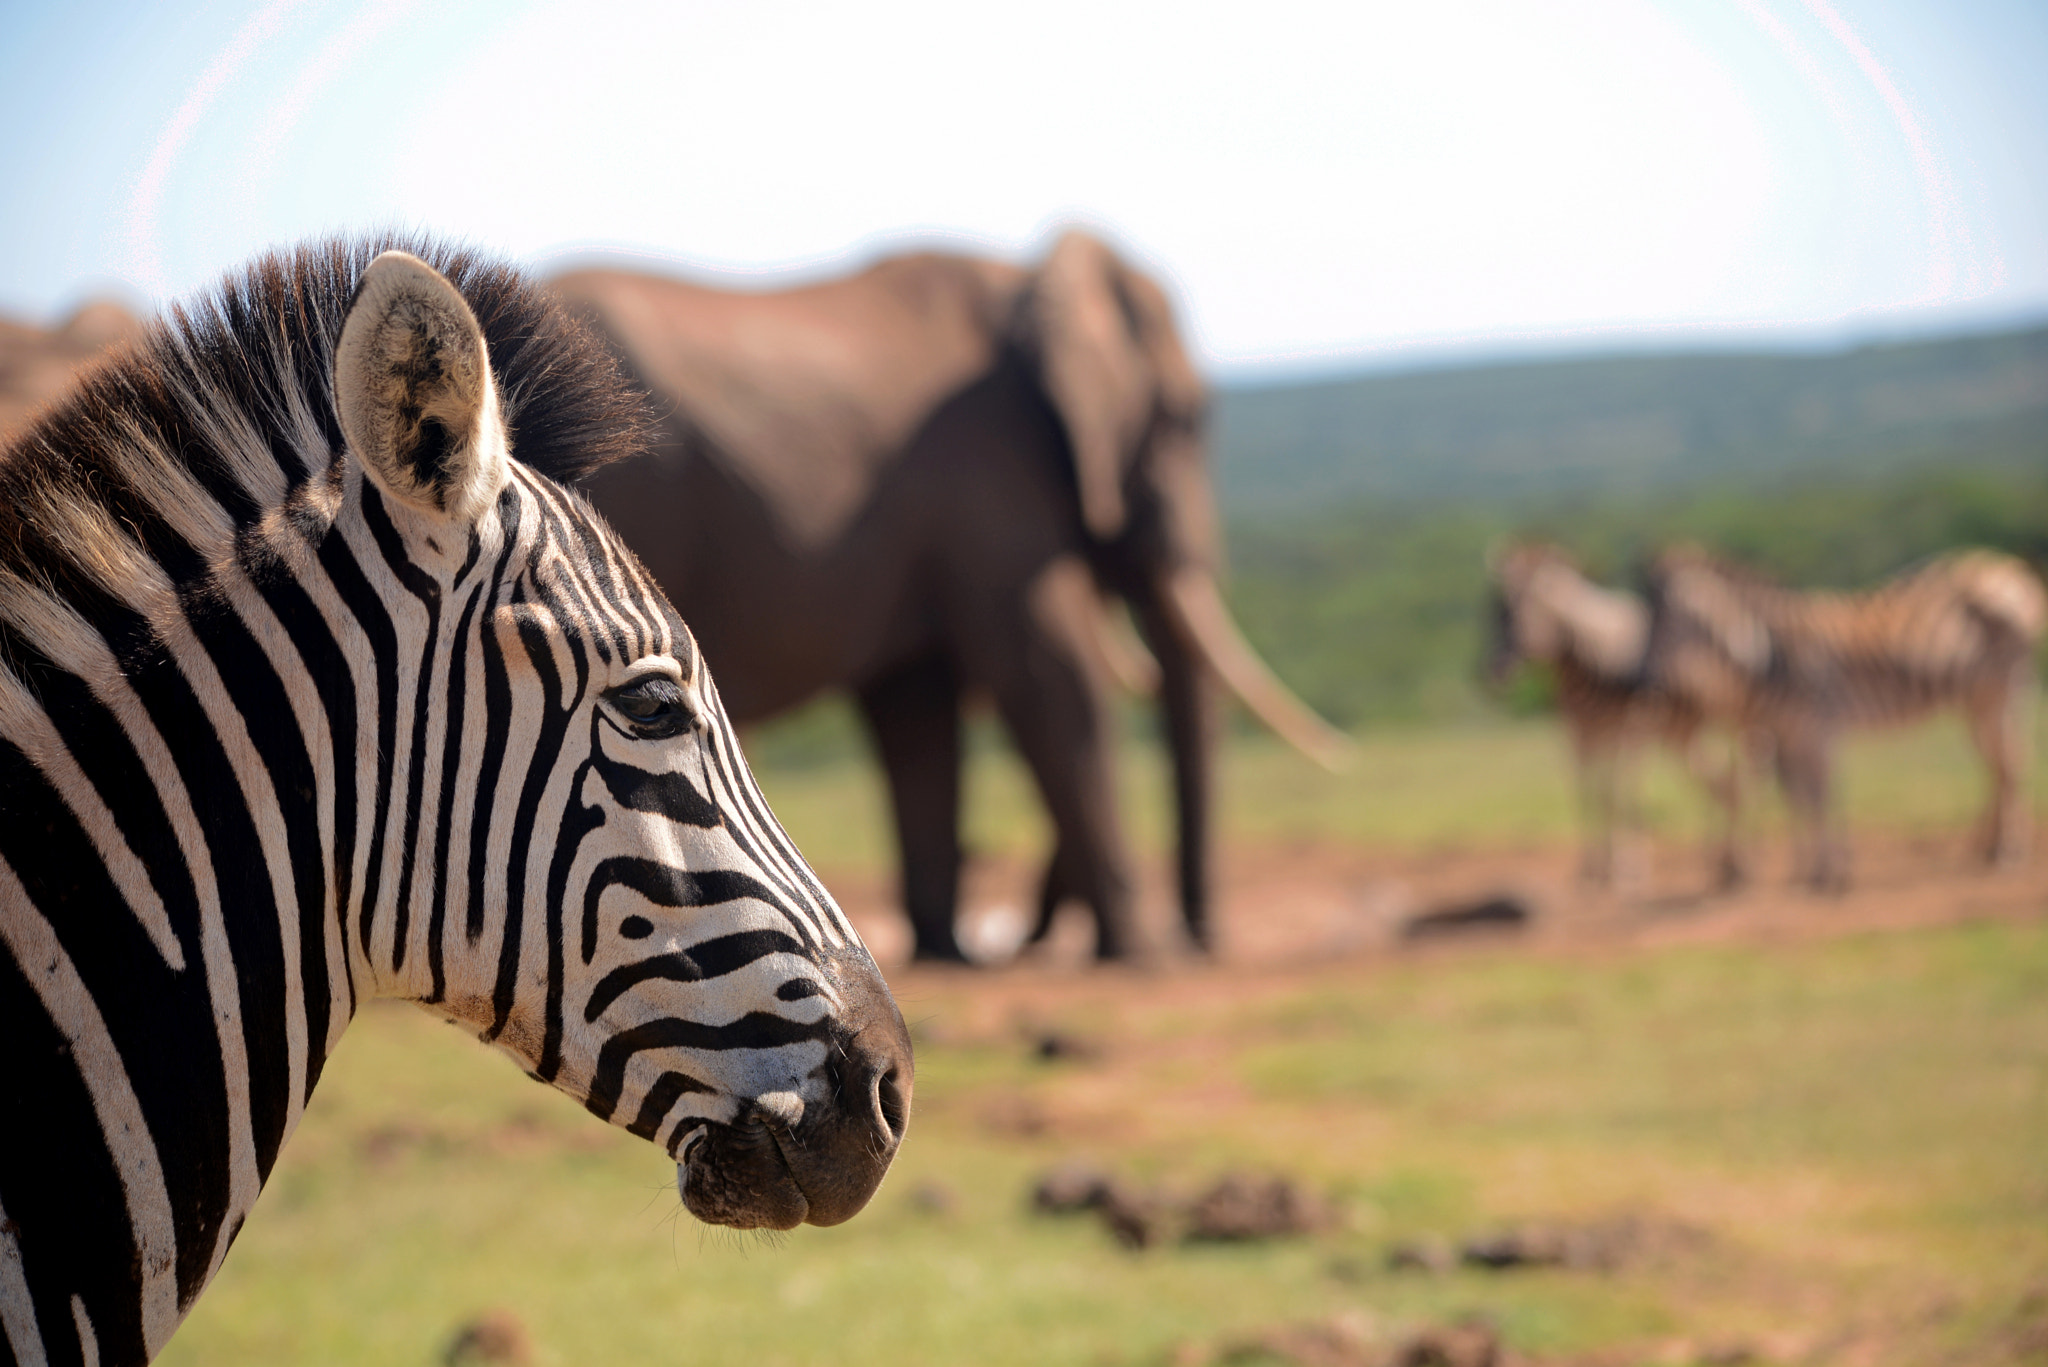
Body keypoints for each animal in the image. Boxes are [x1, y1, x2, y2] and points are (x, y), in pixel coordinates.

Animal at [552, 232, 1343, 963]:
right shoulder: (987, 469)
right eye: (1184, 420)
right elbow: (1053, 673)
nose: (1203, 941)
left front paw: (946, 952)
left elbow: (918, 713)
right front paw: (1141, 958)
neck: (1030, 280)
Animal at [1490, 545, 1744, 897]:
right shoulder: (1581, 736)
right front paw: (1591, 871)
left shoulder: (1632, 730)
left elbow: (1620, 795)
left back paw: (1737, 863)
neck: (1587, 663)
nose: (1493, 671)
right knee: (1720, 781)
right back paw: (1719, 864)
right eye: (1495, 607)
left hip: (1728, 719)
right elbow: (1590, 794)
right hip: (1683, 732)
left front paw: (1627, 870)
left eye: (1514, 610)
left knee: (1734, 778)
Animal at [1646, 545, 2048, 897]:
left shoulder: (1817, 729)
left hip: (2000, 692)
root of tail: (2008, 572)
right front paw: (1807, 871)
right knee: (1997, 767)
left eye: (1665, 622)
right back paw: (1986, 848)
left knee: (2011, 765)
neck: (1773, 660)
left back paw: (2007, 852)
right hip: (1975, 703)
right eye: (1649, 621)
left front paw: (1828, 874)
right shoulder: (1787, 735)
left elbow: (1820, 797)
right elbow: (1800, 798)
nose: (1648, 685)